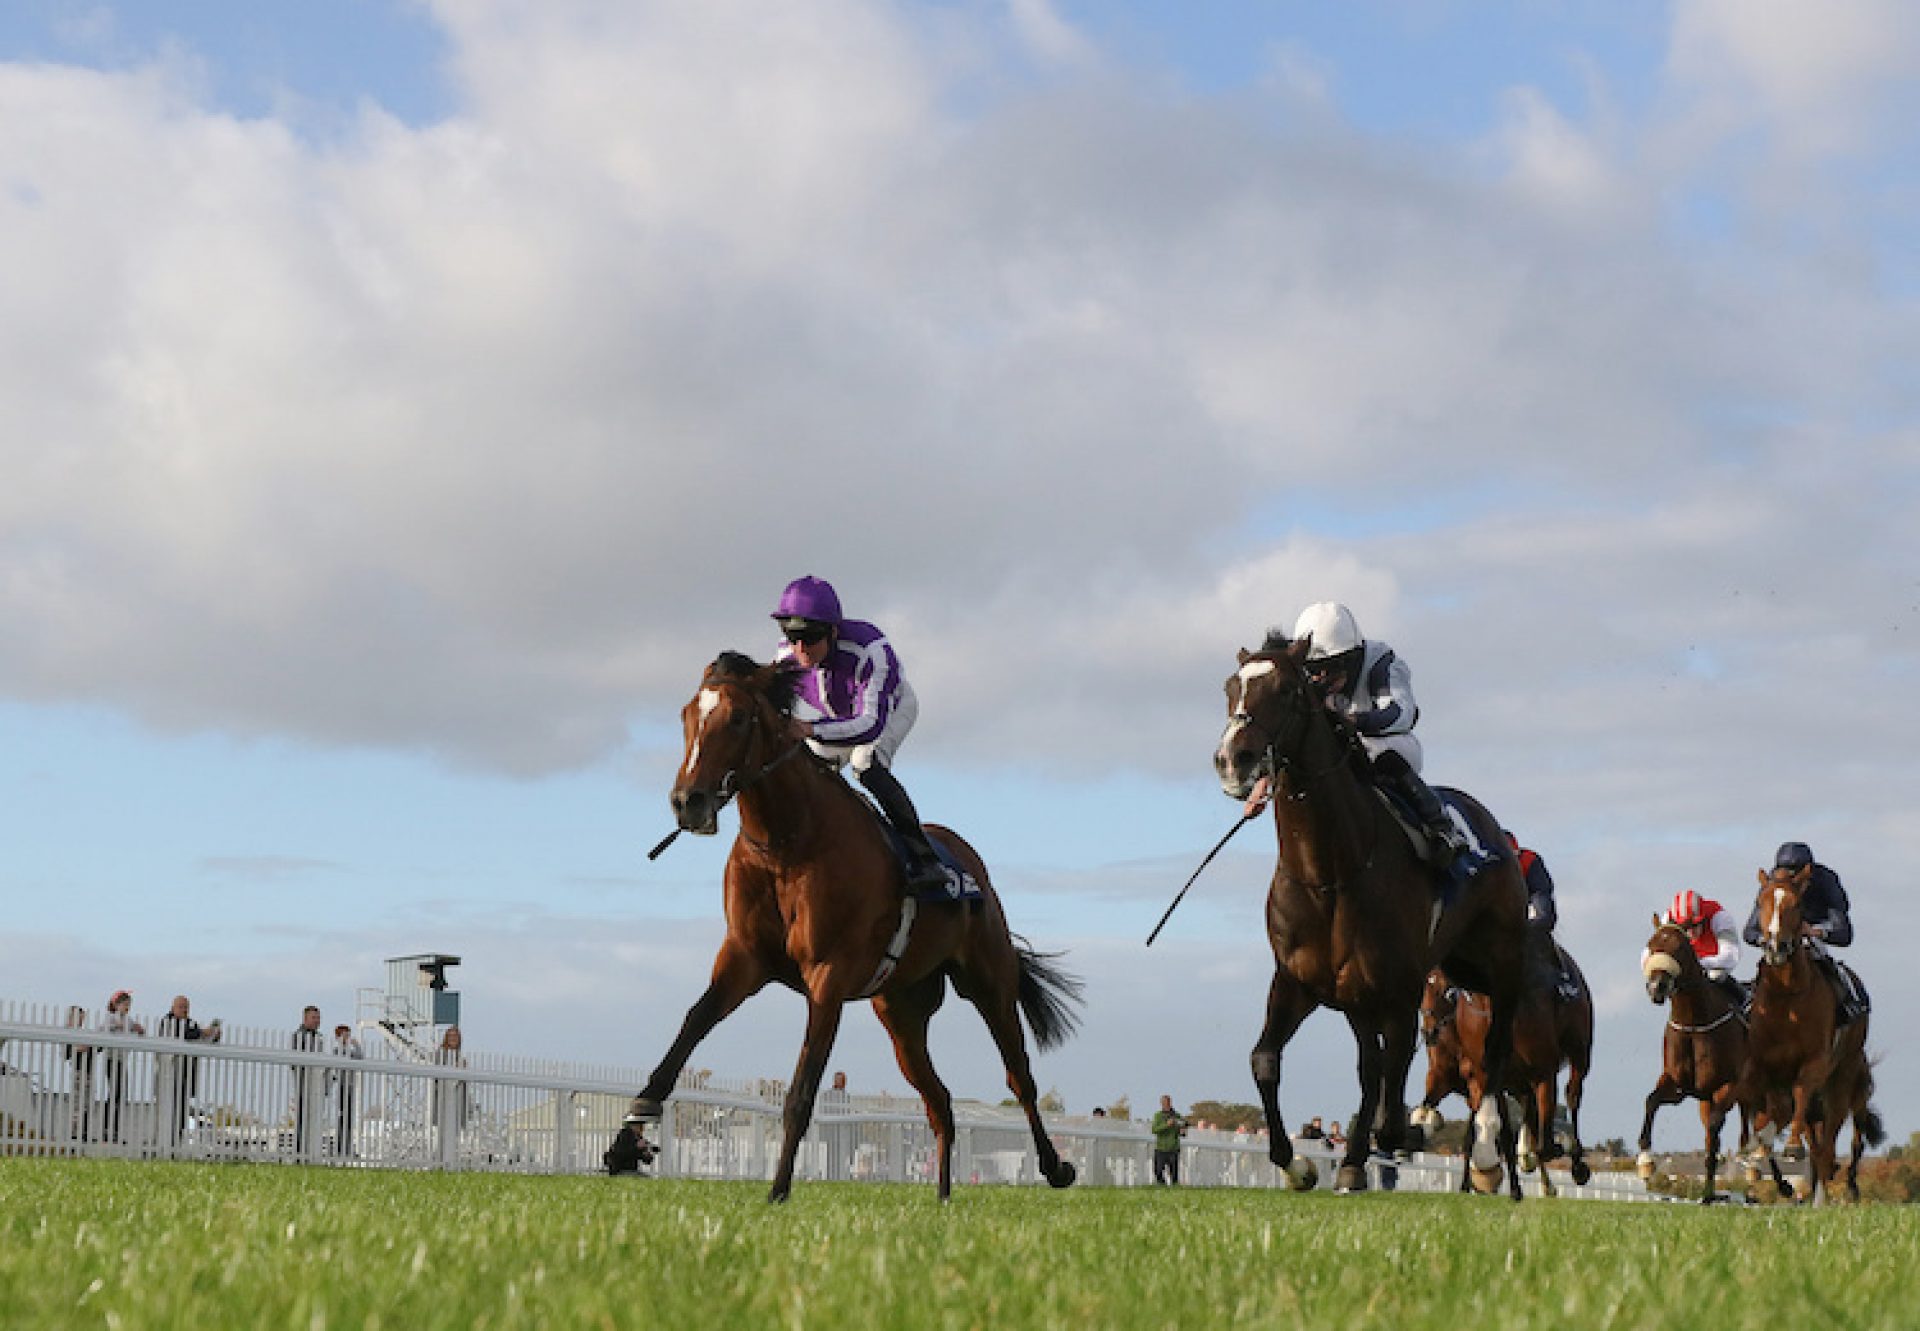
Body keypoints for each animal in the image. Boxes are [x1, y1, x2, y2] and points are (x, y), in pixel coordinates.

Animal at [625, 649, 1090, 1198]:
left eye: (737, 718)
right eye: (686, 716)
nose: (687, 801)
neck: (787, 843)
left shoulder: (828, 975)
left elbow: (802, 1090)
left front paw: (777, 1192)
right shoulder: (744, 958)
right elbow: (691, 1027)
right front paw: (628, 1136)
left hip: (989, 983)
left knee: (1019, 1077)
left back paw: (1054, 1167)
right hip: (902, 1013)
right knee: (940, 1101)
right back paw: (943, 1197)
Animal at [1213, 637, 1528, 1198]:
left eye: (1287, 689)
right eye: (1231, 688)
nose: (1233, 759)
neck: (1331, 874)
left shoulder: (1401, 991)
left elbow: (1392, 1081)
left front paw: (1401, 1136)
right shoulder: (1297, 981)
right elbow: (1266, 1060)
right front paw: (1298, 1165)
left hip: (1501, 961)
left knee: (1491, 1052)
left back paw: (1488, 1152)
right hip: (1385, 989)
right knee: (1371, 1066)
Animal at [1405, 933, 1597, 1190]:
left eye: (1448, 990)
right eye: (1424, 986)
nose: (1428, 1032)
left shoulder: (1541, 1071)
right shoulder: (1464, 1079)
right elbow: (1490, 1132)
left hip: (1578, 1054)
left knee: (1572, 1096)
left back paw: (1572, 1164)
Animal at [1628, 918, 1789, 1198]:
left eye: (1681, 948)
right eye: (1651, 945)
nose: (1656, 987)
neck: (1694, 1024)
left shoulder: (1728, 1086)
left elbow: (1715, 1132)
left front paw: (1708, 1192)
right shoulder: (1679, 1086)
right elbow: (1651, 1101)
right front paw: (1646, 1161)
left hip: (1764, 1093)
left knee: (1765, 1131)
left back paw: (1766, 1174)